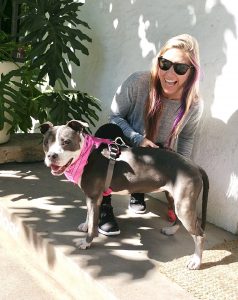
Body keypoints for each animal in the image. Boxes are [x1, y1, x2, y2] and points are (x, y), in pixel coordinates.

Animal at [40, 119, 209, 270]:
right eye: (46, 143)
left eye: (66, 142)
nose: (51, 156)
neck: (85, 155)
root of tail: (194, 165)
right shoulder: (90, 196)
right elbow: (89, 215)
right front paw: (85, 225)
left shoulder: (94, 197)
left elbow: (93, 223)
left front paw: (87, 242)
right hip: (174, 198)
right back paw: (171, 230)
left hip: (184, 204)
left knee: (200, 235)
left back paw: (196, 261)